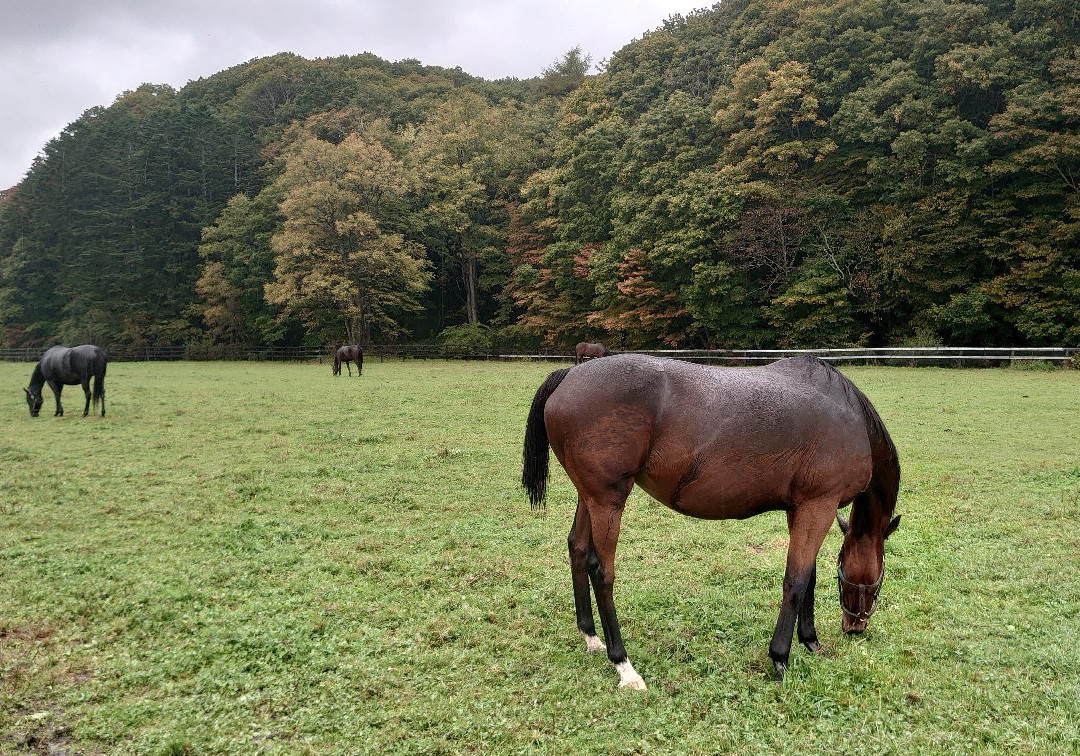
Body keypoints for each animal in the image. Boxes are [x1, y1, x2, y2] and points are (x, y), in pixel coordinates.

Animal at [522, 353, 900, 689]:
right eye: (879, 581)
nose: (855, 628)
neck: (850, 418)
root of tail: (570, 375)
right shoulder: (818, 506)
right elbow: (795, 581)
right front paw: (780, 657)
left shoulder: (802, 508)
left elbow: (808, 577)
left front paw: (810, 641)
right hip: (607, 502)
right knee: (602, 573)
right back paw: (624, 666)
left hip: (590, 499)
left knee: (578, 550)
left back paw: (590, 637)